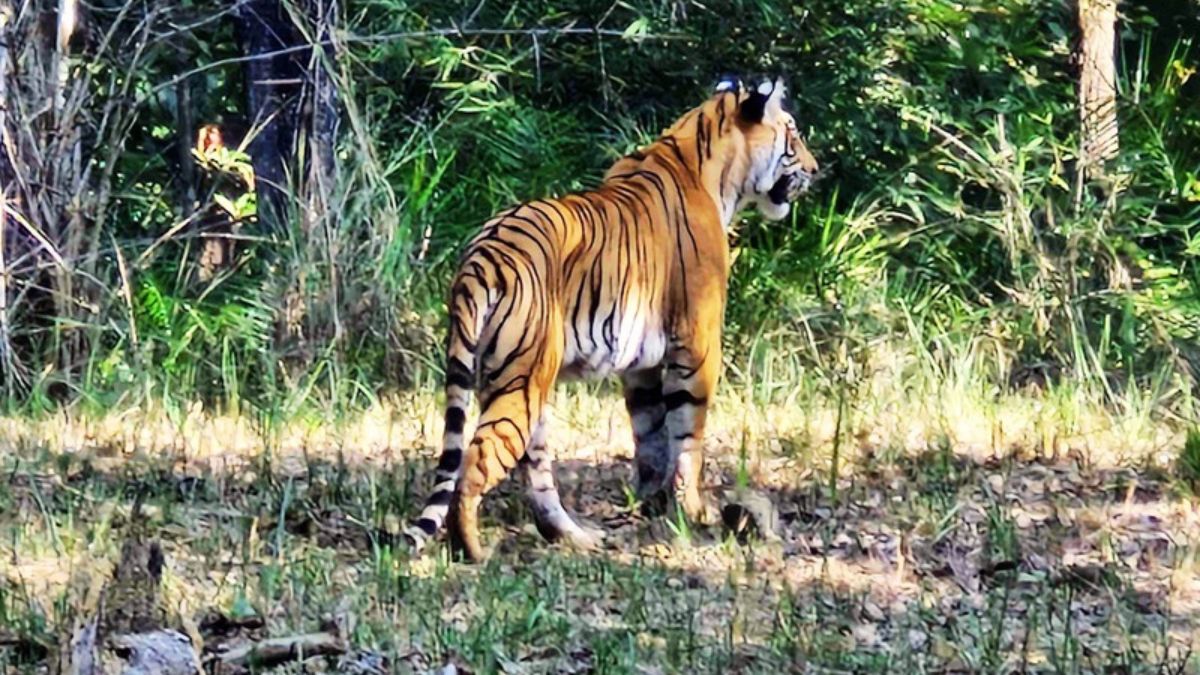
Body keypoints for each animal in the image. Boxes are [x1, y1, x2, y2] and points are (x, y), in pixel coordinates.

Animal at [408, 76, 820, 559]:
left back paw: (575, 537)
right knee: (477, 458)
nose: (815, 169)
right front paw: (693, 511)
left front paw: (652, 504)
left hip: (528, 385)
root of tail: (481, 255)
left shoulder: (642, 366)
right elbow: (688, 433)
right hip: (521, 381)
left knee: (536, 473)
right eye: (792, 135)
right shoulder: (698, 344)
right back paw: (472, 550)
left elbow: (651, 436)